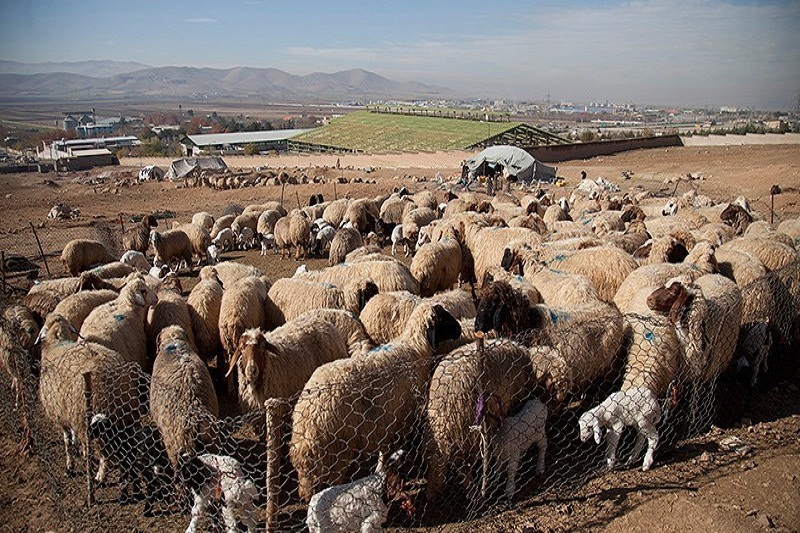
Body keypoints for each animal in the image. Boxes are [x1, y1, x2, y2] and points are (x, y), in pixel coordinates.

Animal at [290, 302, 462, 500]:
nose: (459, 329)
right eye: (443, 317)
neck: (416, 350)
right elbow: (388, 450)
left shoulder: (387, 420)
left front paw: (381, 470)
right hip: (337, 452)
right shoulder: (400, 418)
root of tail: (307, 419)